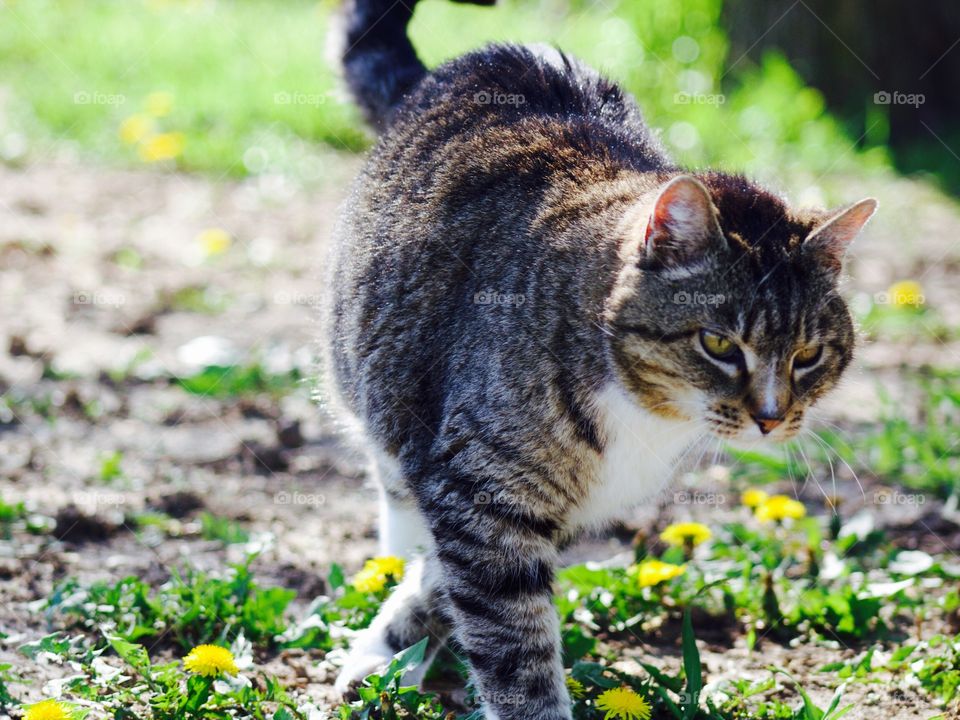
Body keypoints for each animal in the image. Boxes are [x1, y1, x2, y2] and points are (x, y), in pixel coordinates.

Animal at [320, 2, 872, 716]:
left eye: (808, 355)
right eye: (720, 344)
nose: (772, 419)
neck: (646, 413)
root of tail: (474, 61)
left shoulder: (533, 510)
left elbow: (448, 589)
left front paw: (396, 643)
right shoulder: (478, 490)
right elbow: (510, 642)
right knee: (399, 504)